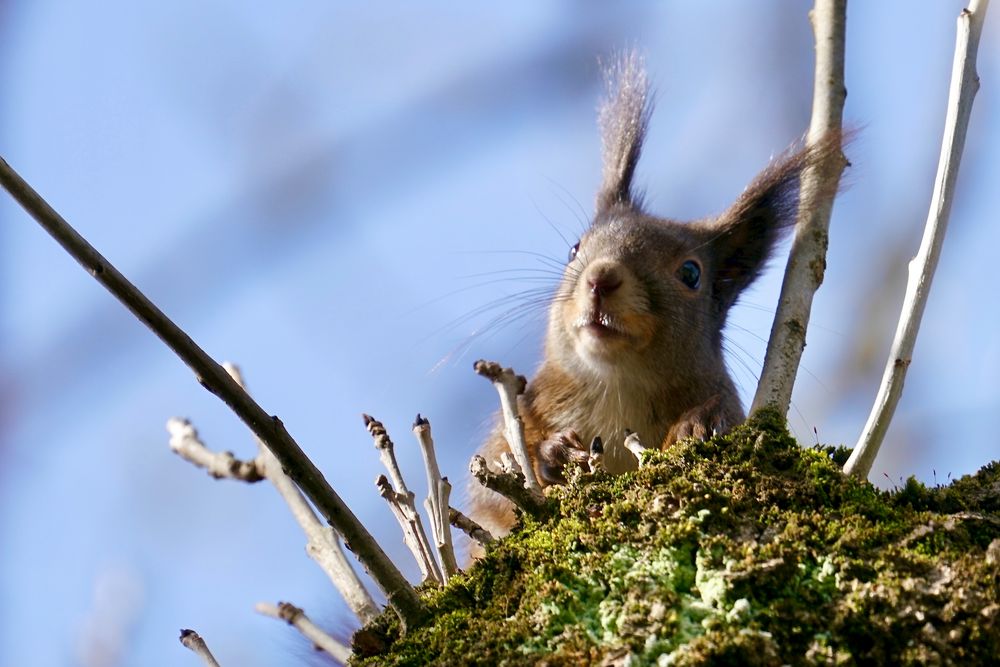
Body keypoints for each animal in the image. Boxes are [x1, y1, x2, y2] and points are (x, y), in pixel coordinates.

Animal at [468, 54, 844, 540]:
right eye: (575, 248)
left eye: (691, 273)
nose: (601, 278)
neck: (618, 386)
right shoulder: (528, 408)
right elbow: (496, 490)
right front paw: (554, 452)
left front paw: (698, 425)